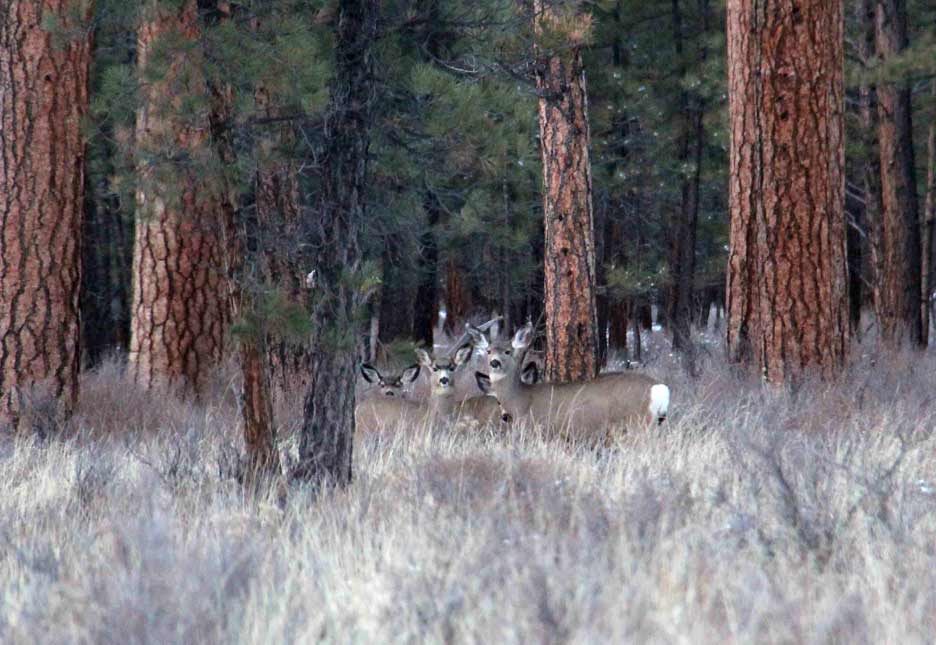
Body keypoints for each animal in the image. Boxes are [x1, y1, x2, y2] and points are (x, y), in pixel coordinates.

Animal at [472, 320, 668, 438]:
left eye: (507, 351)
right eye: (488, 351)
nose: (494, 362)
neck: (520, 400)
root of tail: (659, 389)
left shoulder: (543, 429)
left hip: (638, 423)